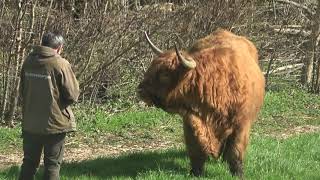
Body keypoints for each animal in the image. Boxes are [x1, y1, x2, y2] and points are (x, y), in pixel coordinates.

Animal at [138, 29, 264, 177]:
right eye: (151, 67)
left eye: (165, 75)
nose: (140, 90)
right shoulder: (191, 122)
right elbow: (196, 150)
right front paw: (195, 172)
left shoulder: (241, 126)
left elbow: (235, 152)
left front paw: (238, 173)